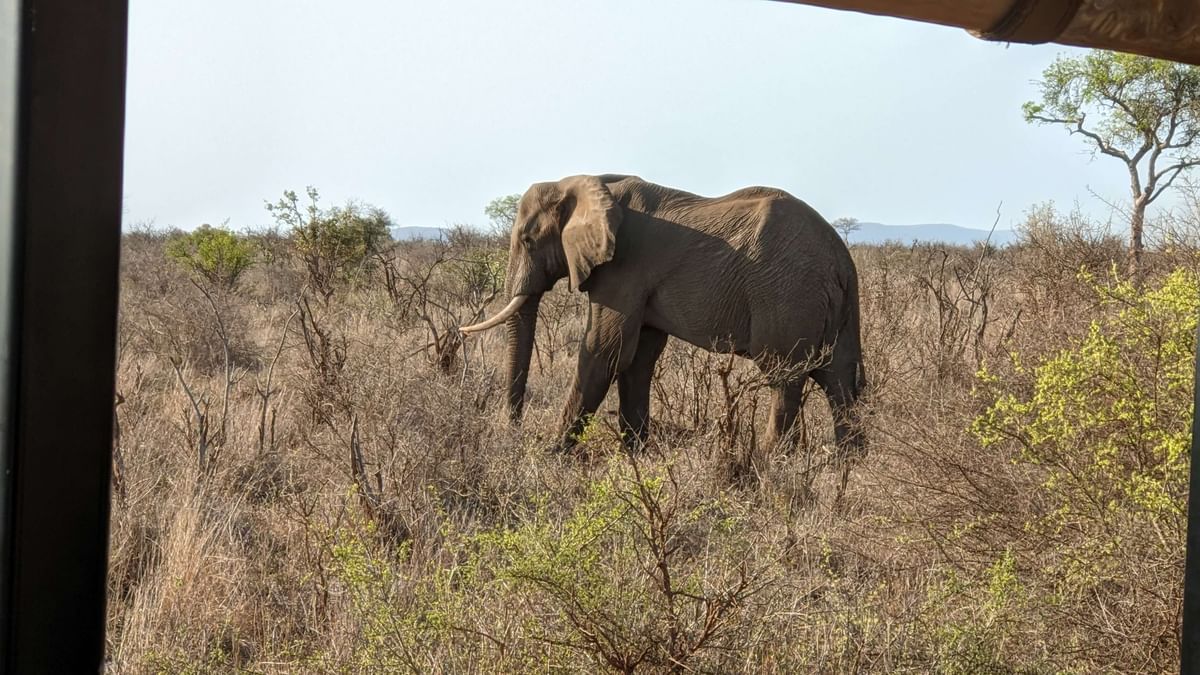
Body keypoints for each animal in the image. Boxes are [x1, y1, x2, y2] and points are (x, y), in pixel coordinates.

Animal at [461, 174, 866, 462]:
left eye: (528, 240)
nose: (514, 431)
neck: (583, 183)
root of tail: (841, 258)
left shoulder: (623, 269)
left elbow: (603, 352)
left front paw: (553, 454)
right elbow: (638, 359)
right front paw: (635, 455)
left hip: (787, 294)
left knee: (785, 377)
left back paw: (769, 461)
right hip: (838, 306)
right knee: (840, 379)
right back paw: (849, 464)